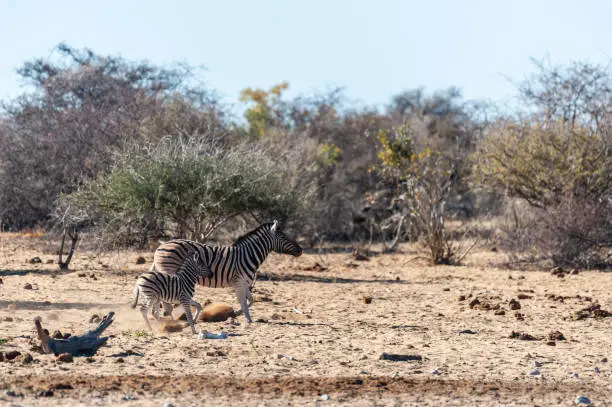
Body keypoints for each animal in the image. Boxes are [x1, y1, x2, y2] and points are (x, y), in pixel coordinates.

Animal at [152, 222, 302, 324]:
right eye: (283, 237)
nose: (300, 250)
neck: (248, 255)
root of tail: (161, 247)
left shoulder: (245, 282)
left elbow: (251, 300)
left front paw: (236, 313)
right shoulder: (238, 281)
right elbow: (244, 302)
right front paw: (248, 320)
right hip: (170, 273)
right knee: (166, 302)